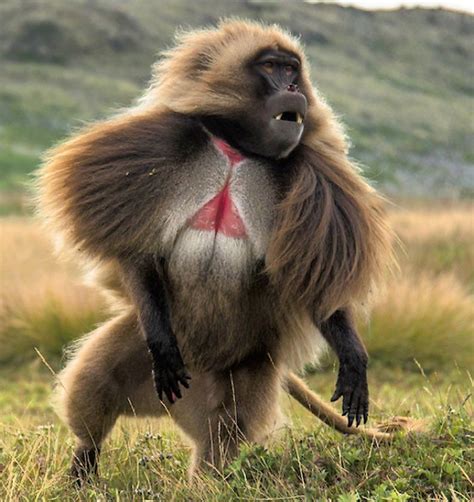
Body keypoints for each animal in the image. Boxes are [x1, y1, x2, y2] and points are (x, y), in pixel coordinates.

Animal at [39, 20, 398, 482]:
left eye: (292, 69)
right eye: (272, 67)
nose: (293, 89)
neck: (238, 152)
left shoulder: (315, 183)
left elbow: (314, 285)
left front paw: (353, 359)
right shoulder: (161, 150)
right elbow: (140, 254)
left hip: (245, 370)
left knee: (226, 429)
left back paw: (207, 481)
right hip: (141, 347)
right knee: (98, 381)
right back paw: (83, 468)